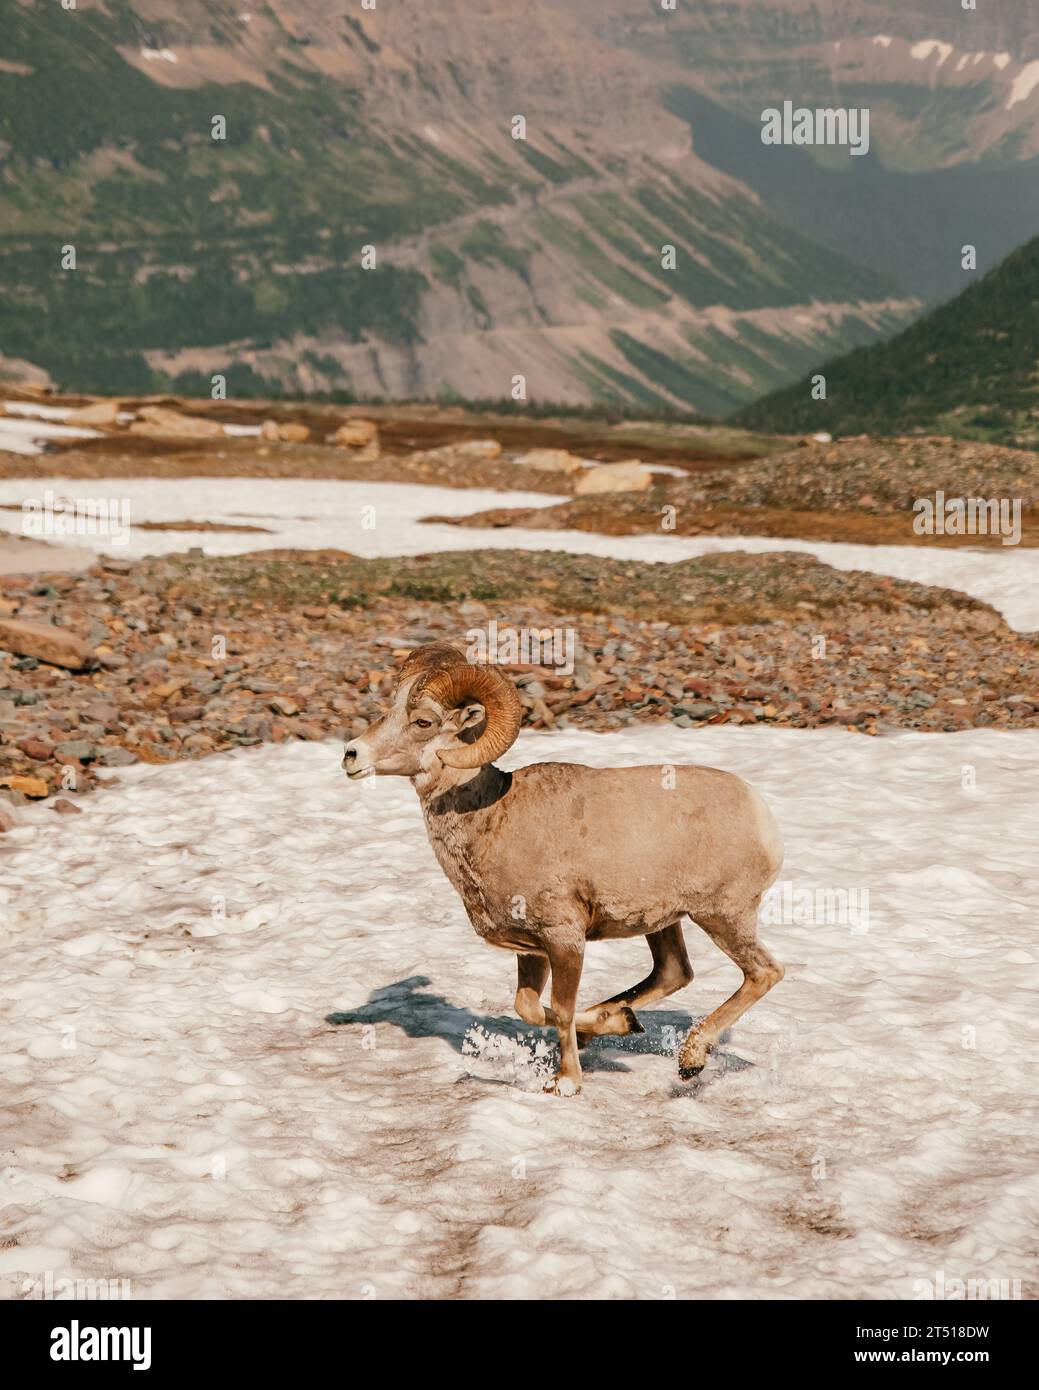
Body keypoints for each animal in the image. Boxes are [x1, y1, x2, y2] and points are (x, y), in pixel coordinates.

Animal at [344, 642, 784, 1095]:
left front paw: (566, 1081)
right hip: (663, 923)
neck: (492, 819)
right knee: (673, 972)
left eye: (423, 721)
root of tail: (759, 812)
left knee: (763, 973)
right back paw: (622, 1020)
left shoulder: (564, 939)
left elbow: (562, 1006)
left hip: (721, 917)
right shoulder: (530, 950)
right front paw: (617, 1024)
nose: (351, 755)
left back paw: (691, 1060)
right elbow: (529, 1007)